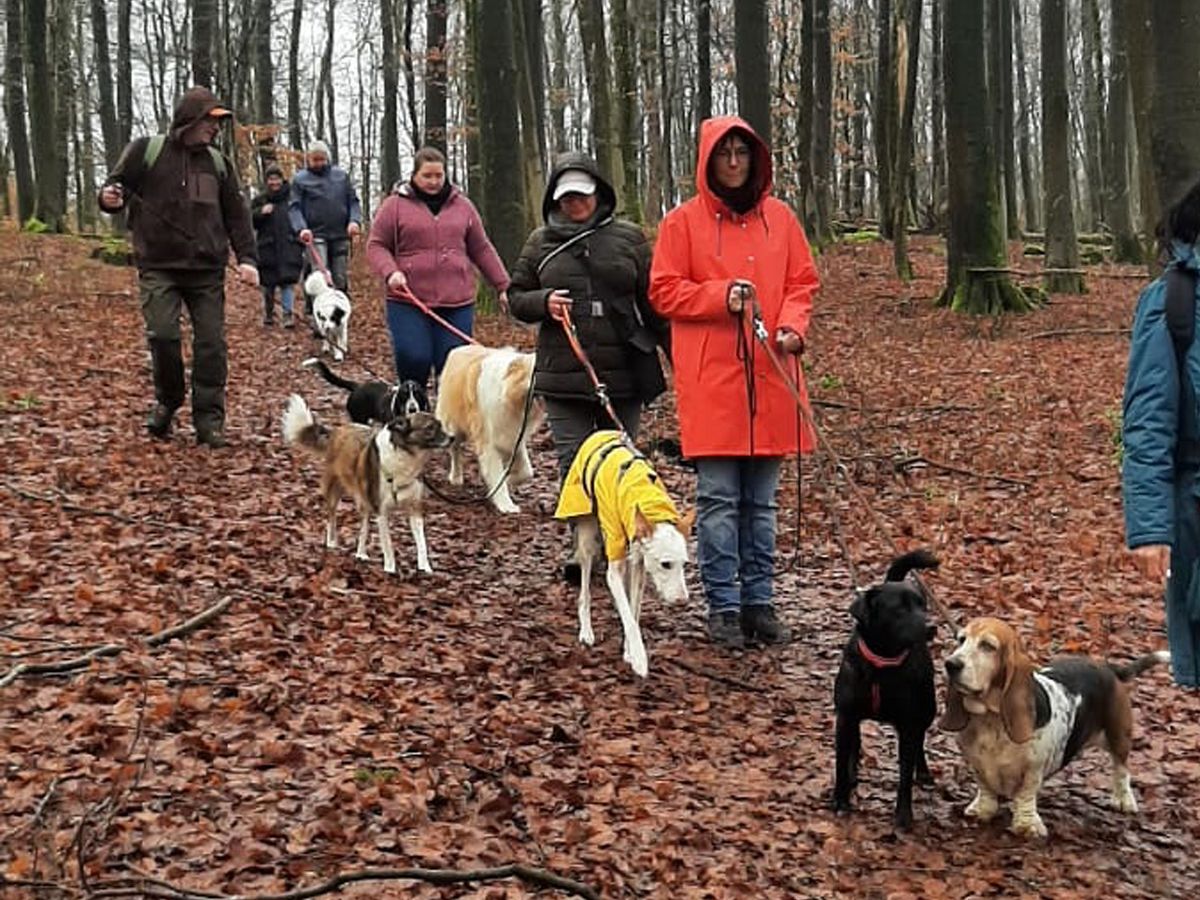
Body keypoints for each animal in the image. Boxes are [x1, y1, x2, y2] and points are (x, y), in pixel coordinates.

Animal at [280, 396, 451, 578]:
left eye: (440, 425)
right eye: (430, 428)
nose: (453, 438)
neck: (405, 455)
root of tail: (337, 431)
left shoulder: (415, 508)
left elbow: (422, 542)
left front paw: (425, 567)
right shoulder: (381, 511)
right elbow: (388, 545)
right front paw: (390, 568)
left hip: (365, 503)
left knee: (363, 529)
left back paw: (361, 553)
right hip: (335, 491)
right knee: (331, 517)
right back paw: (331, 542)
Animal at [432, 345, 544, 513]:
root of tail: (460, 348)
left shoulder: (514, 438)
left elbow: (527, 471)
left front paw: (507, 480)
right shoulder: (489, 443)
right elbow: (498, 476)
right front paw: (506, 505)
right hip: (454, 428)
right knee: (455, 451)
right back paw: (456, 477)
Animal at [554, 429, 696, 676]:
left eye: (684, 564)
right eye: (665, 564)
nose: (682, 601)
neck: (647, 501)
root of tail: (601, 432)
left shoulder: (639, 566)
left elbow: (633, 611)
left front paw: (629, 649)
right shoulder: (615, 567)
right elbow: (629, 617)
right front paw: (639, 657)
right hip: (588, 537)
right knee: (585, 590)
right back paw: (586, 630)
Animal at [835, 549, 936, 830]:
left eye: (923, 605)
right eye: (899, 609)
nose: (931, 627)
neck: (881, 665)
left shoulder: (908, 723)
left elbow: (904, 774)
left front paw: (903, 815)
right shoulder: (844, 716)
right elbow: (840, 762)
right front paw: (840, 800)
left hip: (928, 708)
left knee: (920, 742)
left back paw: (923, 772)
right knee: (855, 743)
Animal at [940, 619, 1166, 840]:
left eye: (988, 646)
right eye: (961, 640)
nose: (950, 664)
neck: (990, 719)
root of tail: (1107, 668)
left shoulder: (1033, 769)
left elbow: (1026, 794)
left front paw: (1027, 825)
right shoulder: (976, 762)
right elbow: (985, 786)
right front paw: (982, 809)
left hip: (1118, 735)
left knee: (1121, 768)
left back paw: (1124, 800)